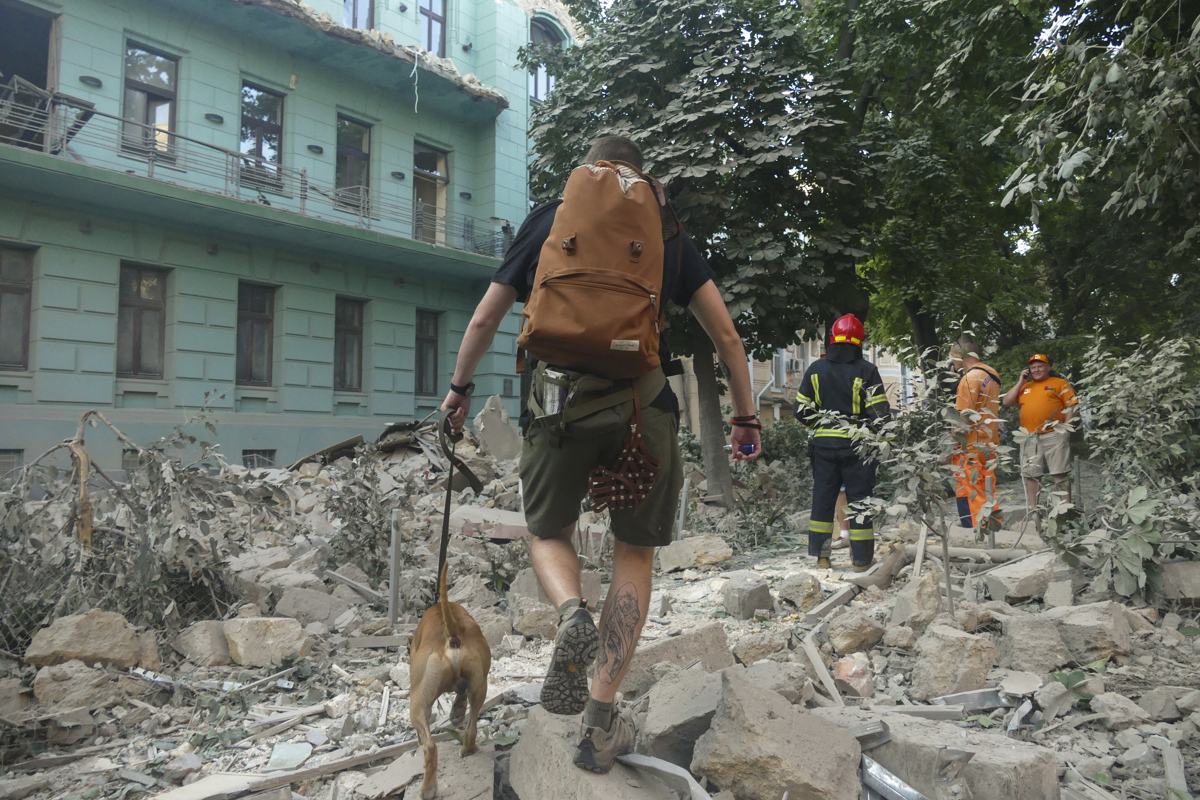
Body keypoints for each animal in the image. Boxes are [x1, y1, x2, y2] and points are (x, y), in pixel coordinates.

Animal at [408, 563, 492, 800]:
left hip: (417, 703)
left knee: (430, 746)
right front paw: (456, 712)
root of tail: (452, 635)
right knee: (471, 726)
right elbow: (460, 694)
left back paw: (428, 790)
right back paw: (468, 747)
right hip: (480, 687)